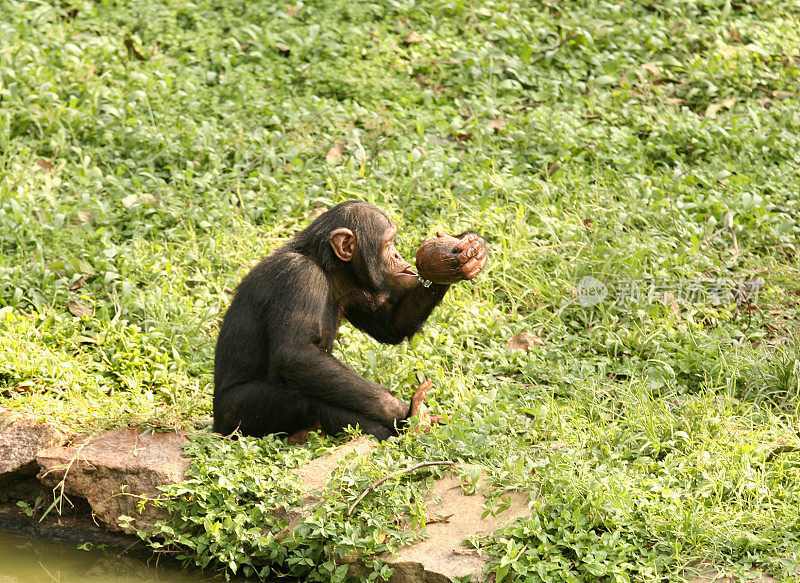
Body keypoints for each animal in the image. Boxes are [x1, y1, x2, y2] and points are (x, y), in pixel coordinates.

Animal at [212, 202, 484, 442]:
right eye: (388, 243)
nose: (397, 254)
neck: (328, 268)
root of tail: (216, 427)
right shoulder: (300, 278)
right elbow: (297, 354)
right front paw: (402, 412)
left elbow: (390, 325)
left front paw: (470, 250)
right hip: (238, 417)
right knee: (309, 398)